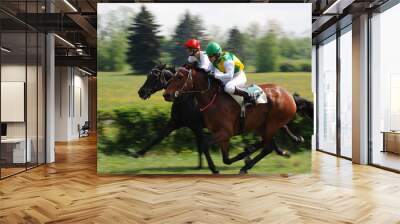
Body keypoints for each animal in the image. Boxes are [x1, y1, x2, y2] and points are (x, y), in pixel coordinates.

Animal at [162, 67, 296, 174]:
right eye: (171, 77)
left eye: (179, 77)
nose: (166, 94)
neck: (212, 99)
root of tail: (288, 95)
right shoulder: (222, 135)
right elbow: (226, 159)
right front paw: (243, 155)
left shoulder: (225, 132)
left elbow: (205, 144)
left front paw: (214, 169)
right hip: (262, 125)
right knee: (267, 144)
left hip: (272, 123)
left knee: (267, 147)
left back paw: (246, 165)